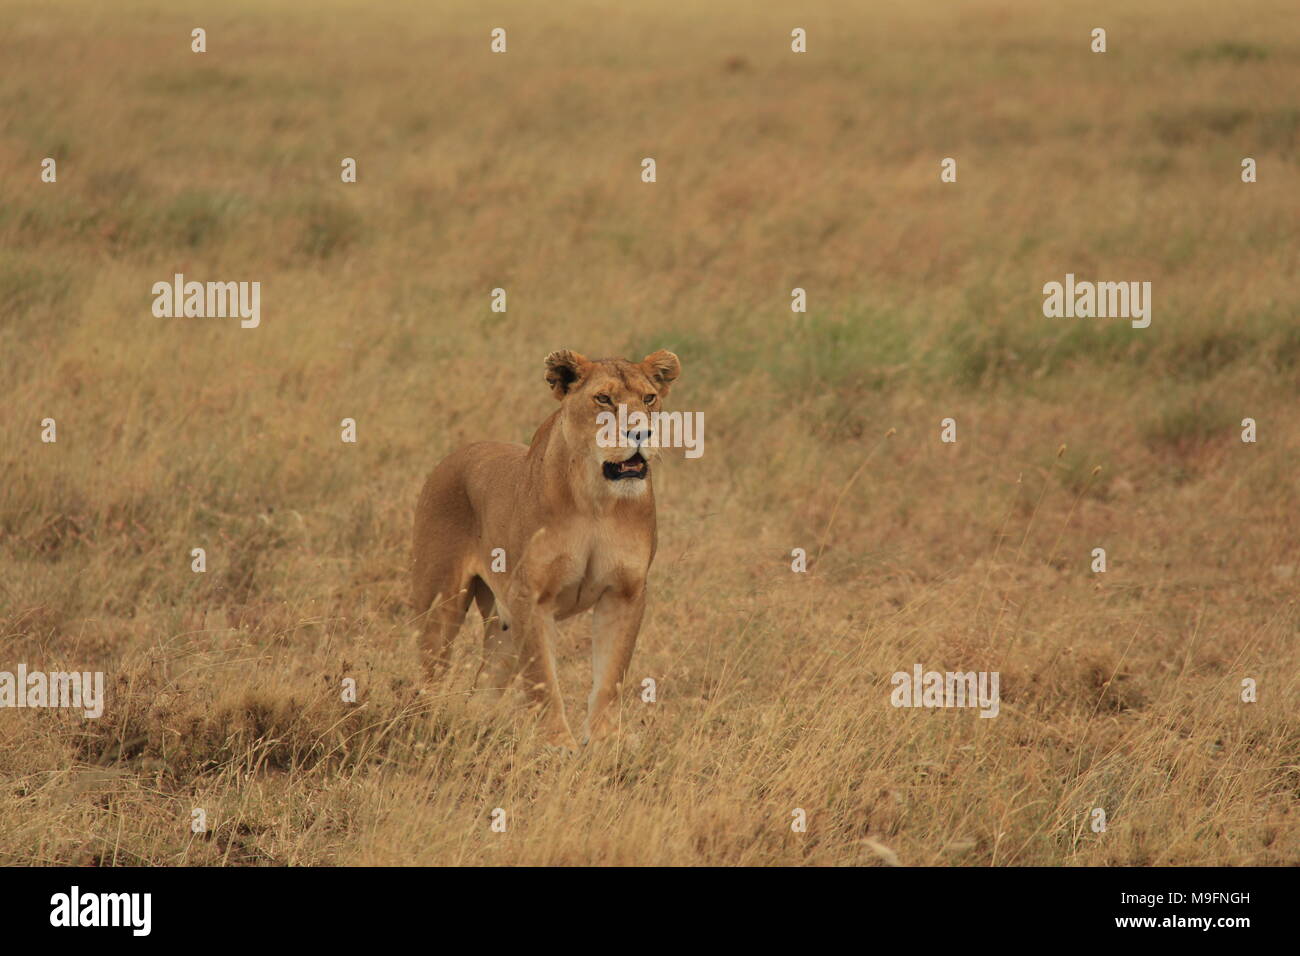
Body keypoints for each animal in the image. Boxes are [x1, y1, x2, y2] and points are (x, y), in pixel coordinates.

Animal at [411, 348, 681, 748]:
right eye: (604, 399)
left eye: (649, 399)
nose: (641, 433)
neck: (596, 500)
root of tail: (454, 455)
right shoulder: (531, 595)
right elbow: (542, 679)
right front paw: (557, 744)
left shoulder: (626, 593)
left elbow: (611, 675)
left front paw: (605, 741)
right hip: (440, 601)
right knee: (429, 669)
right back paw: (425, 720)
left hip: (504, 626)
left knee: (483, 685)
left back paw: (477, 726)